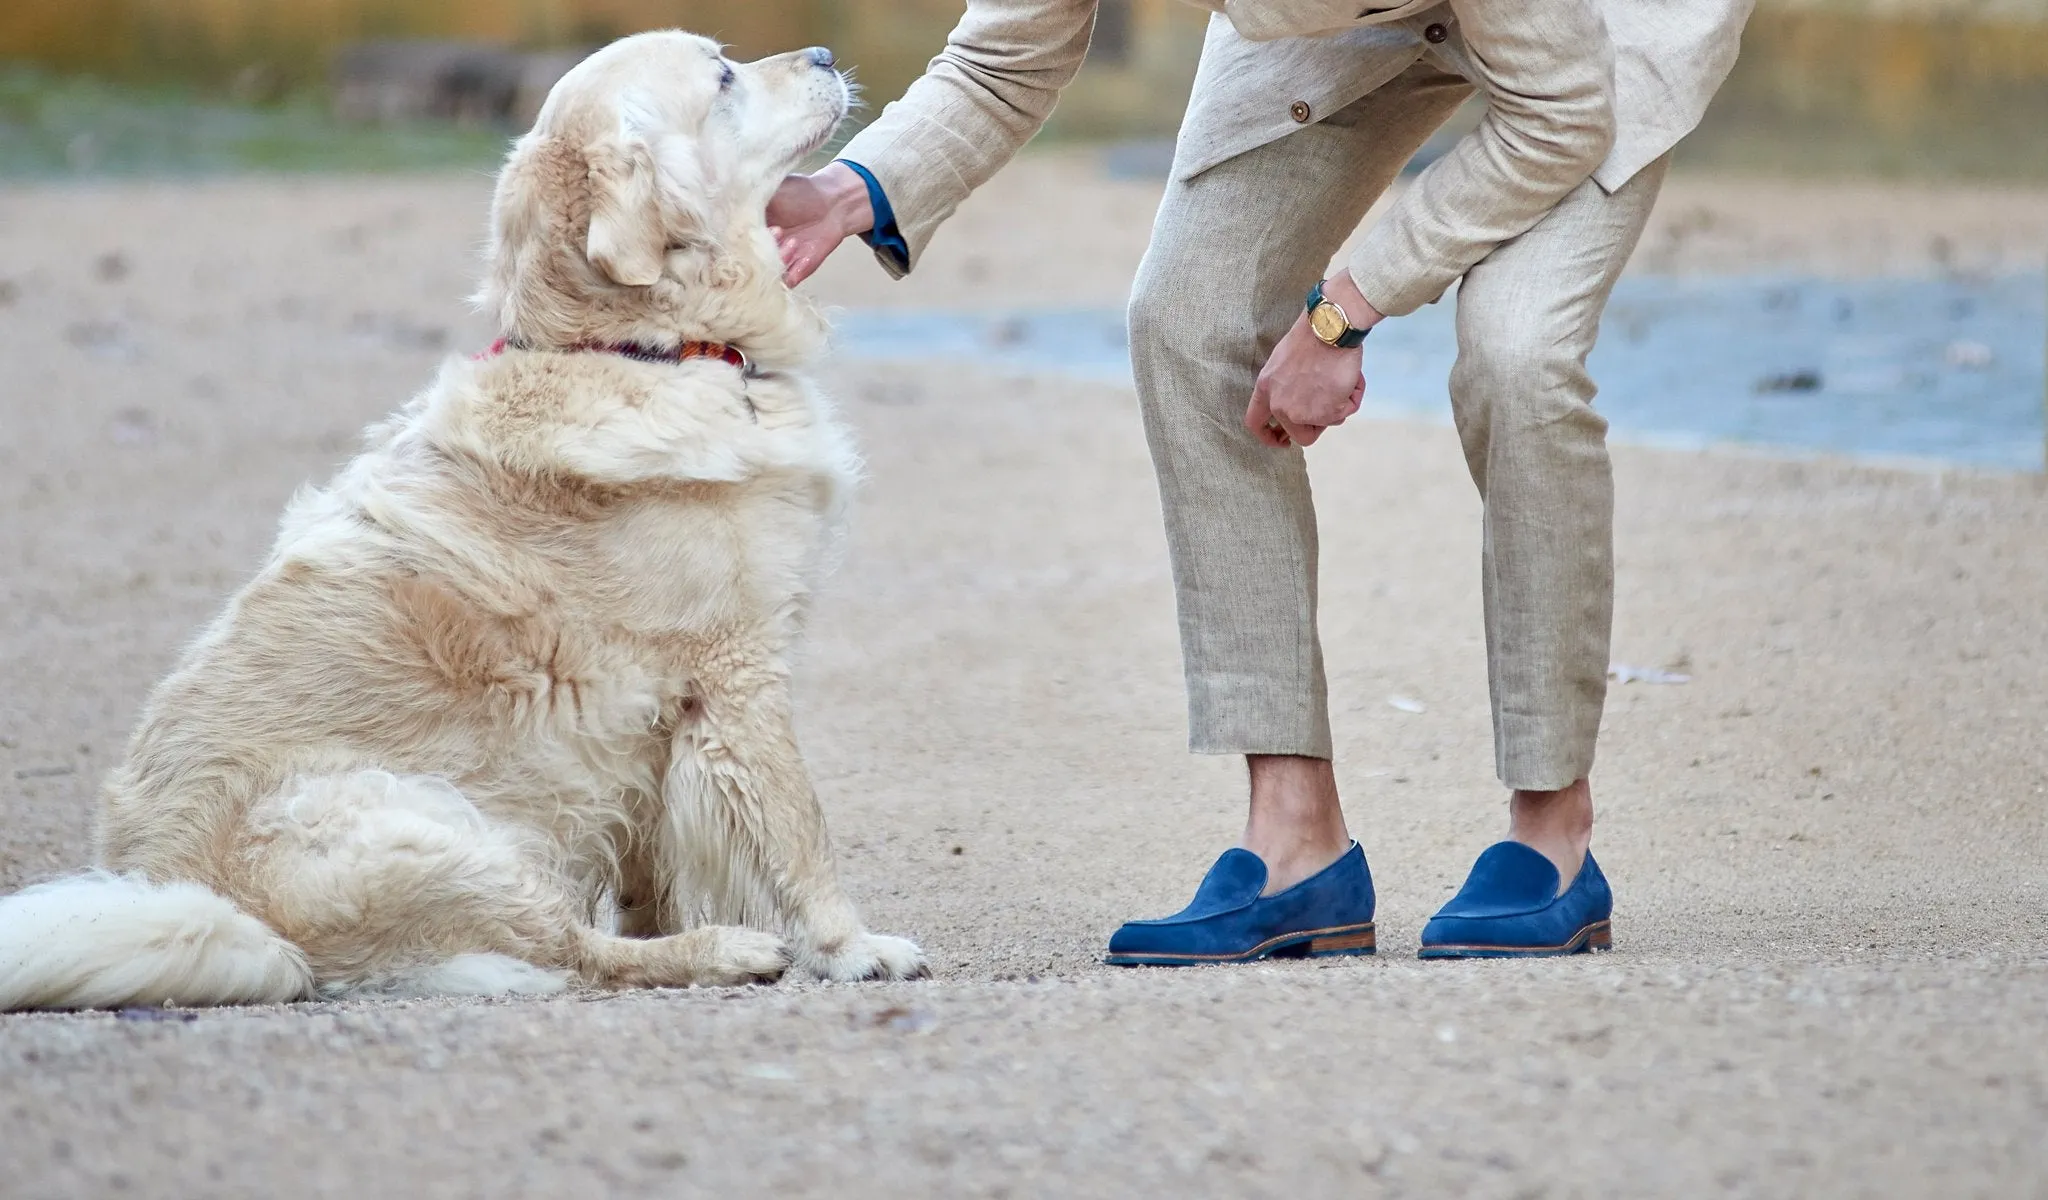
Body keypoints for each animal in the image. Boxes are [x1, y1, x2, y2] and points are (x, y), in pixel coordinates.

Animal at [0, 28, 925, 1003]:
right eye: (721, 78)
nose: (822, 52)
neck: (642, 348)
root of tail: (232, 923)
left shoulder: (647, 730)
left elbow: (653, 870)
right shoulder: (737, 670)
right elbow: (800, 829)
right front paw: (854, 949)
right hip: (433, 827)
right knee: (572, 952)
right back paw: (724, 952)